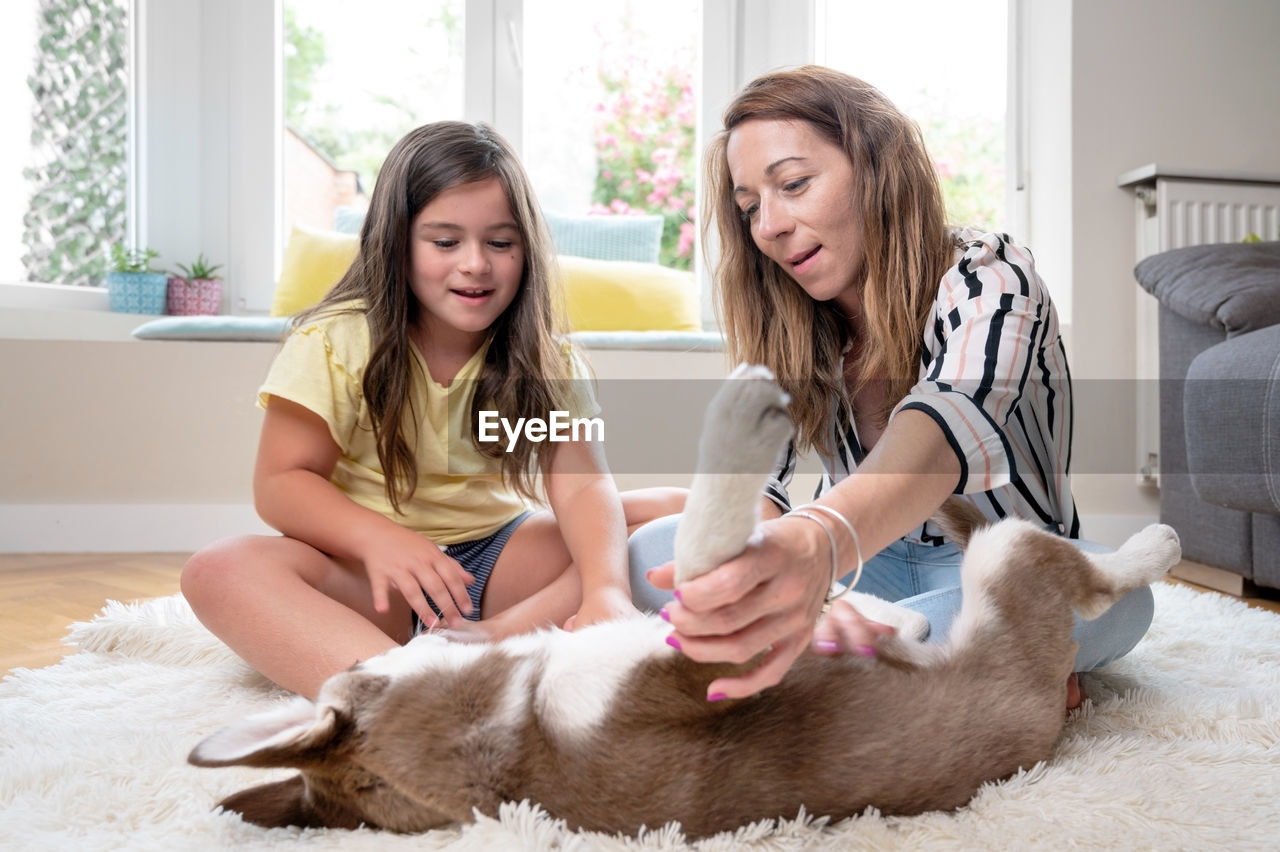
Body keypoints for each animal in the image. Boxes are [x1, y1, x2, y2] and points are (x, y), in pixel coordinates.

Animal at [189, 360, 1177, 834]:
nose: (420, 631)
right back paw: (1152, 543)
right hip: (1015, 574)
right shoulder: (711, 655)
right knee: (1075, 573)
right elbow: (707, 554)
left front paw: (865, 615)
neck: (512, 719)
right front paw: (739, 420)